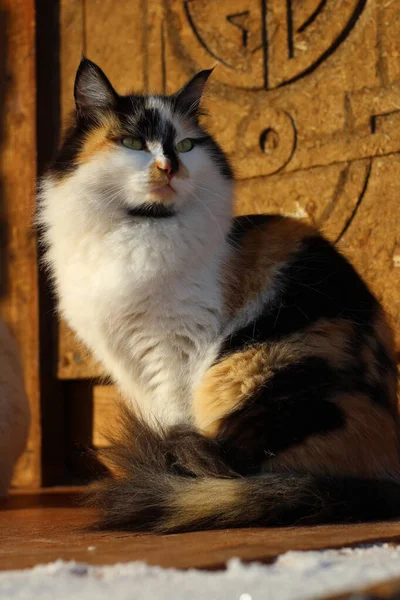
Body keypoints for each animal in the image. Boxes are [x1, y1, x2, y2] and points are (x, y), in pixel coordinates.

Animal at [39, 58, 400, 532]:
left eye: (186, 145)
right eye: (133, 142)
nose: (170, 167)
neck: (138, 231)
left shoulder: (176, 352)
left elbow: (173, 416)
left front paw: (163, 474)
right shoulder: (126, 362)